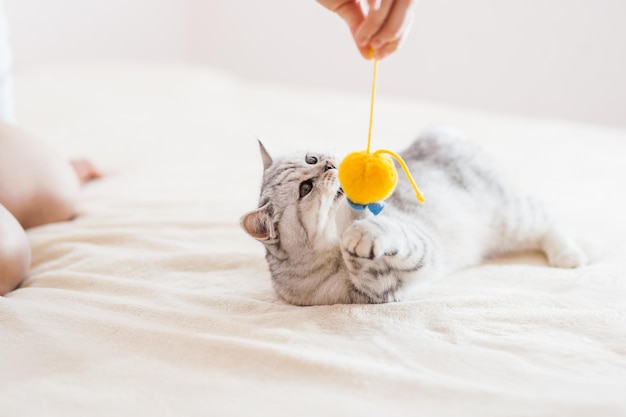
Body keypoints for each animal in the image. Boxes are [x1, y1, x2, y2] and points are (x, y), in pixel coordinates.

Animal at [240, 127, 584, 306]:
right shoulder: (379, 290)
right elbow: (364, 265)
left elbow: (389, 231)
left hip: (510, 215)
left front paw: (362, 229)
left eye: (311, 158)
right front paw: (355, 243)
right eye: (306, 188)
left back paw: (570, 255)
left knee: (548, 220)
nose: (328, 164)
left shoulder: (415, 239)